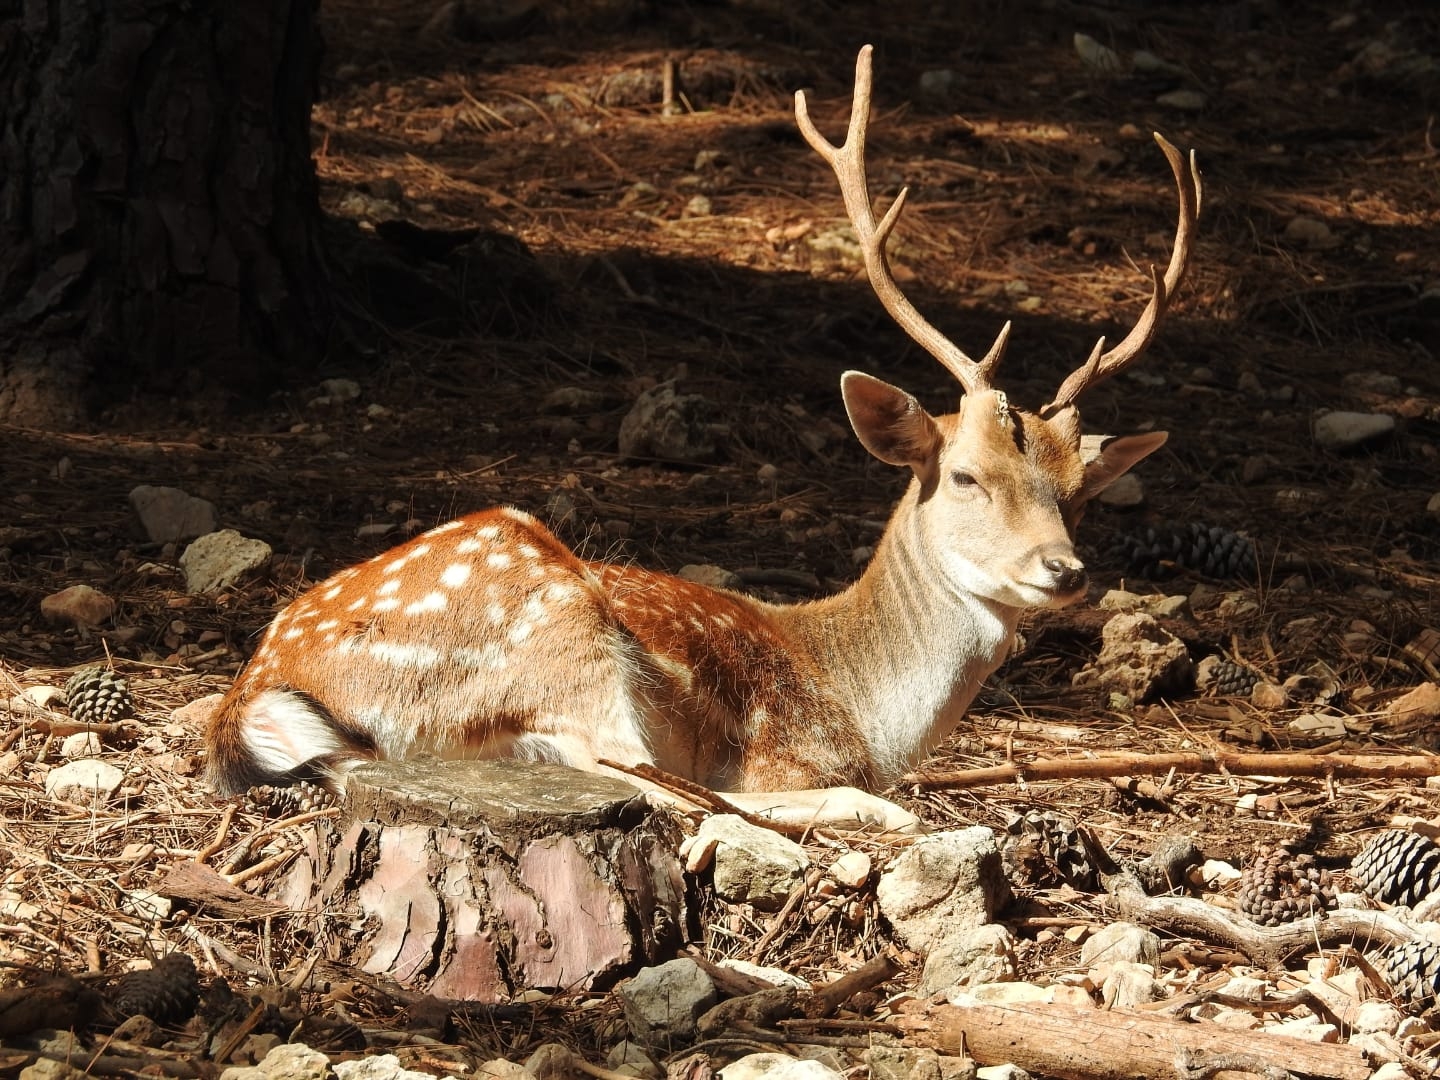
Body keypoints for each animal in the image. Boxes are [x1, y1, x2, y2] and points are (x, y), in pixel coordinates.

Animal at [205, 46, 1203, 835]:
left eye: (1081, 491)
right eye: (964, 475)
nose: (1063, 570)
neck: (860, 702)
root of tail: (252, 692)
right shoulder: (777, 748)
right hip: (560, 629)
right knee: (654, 785)